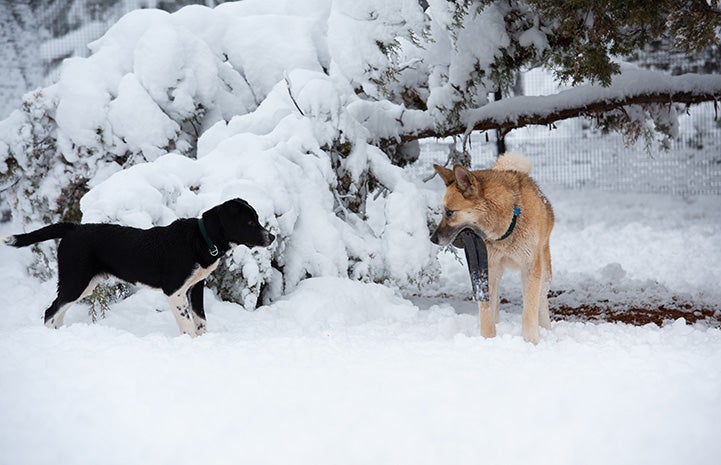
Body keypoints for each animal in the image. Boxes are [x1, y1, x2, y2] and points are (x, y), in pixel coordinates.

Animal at [2, 198, 276, 336]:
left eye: (257, 218)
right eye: (250, 222)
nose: (272, 237)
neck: (200, 239)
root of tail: (73, 228)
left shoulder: (195, 286)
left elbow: (201, 322)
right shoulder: (174, 291)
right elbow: (187, 324)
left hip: (84, 284)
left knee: (58, 311)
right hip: (76, 280)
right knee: (50, 311)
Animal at [430, 154, 556, 342]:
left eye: (450, 212)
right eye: (443, 212)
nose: (432, 239)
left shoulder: (531, 267)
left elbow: (529, 310)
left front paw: (531, 341)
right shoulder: (486, 268)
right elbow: (486, 311)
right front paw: (488, 340)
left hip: (544, 271)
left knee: (541, 300)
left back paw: (546, 329)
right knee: (495, 303)